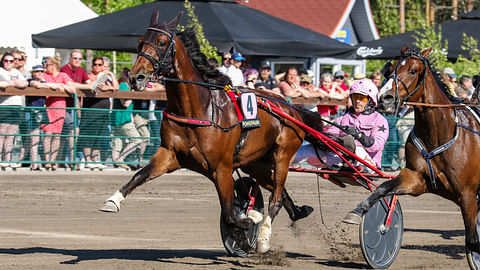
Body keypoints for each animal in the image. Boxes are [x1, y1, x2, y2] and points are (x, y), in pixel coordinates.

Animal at [100, 10, 316, 254]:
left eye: (162, 42)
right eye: (139, 42)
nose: (135, 77)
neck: (199, 110)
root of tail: (291, 107)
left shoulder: (221, 168)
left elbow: (231, 214)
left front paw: (250, 220)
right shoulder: (169, 155)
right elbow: (139, 175)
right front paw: (113, 200)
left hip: (283, 154)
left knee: (276, 196)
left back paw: (263, 237)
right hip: (256, 163)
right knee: (276, 188)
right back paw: (297, 212)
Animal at [344, 47, 480, 268]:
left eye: (414, 70)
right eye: (390, 68)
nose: (385, 98)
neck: (439, 134)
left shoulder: (467, 194)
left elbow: (473, 241)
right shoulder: (416, 179)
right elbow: (383, 188)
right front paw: (359, 211)